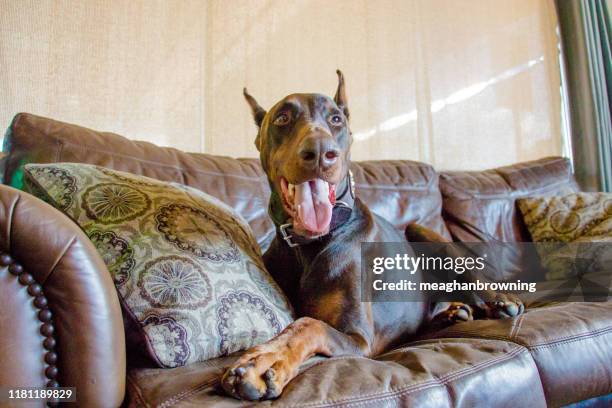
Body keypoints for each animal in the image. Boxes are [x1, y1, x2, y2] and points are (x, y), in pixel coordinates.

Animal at [220, 69, 520, 398]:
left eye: (336, 119)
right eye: (282, 118)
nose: (321, 153)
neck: (308, 245)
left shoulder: (360, 337)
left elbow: (308, 324)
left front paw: (264, 361)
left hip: (421, 231)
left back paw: (499, 302)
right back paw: (453, 313)